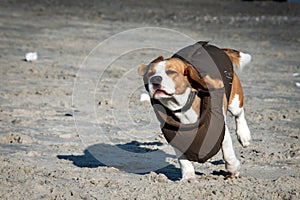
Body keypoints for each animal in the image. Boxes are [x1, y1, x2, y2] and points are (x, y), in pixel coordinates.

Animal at [138, 41, 251, 182]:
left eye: (171, 71)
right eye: (150, 73)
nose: (155, 79)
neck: (182, 107)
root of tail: (216, 47)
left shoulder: (222, 131)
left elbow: (228, 153)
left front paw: (233, 170)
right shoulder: (176, 138)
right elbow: (184, 161)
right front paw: (189, 178)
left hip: (235, 101)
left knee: (239, 114)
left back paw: (244, 135)